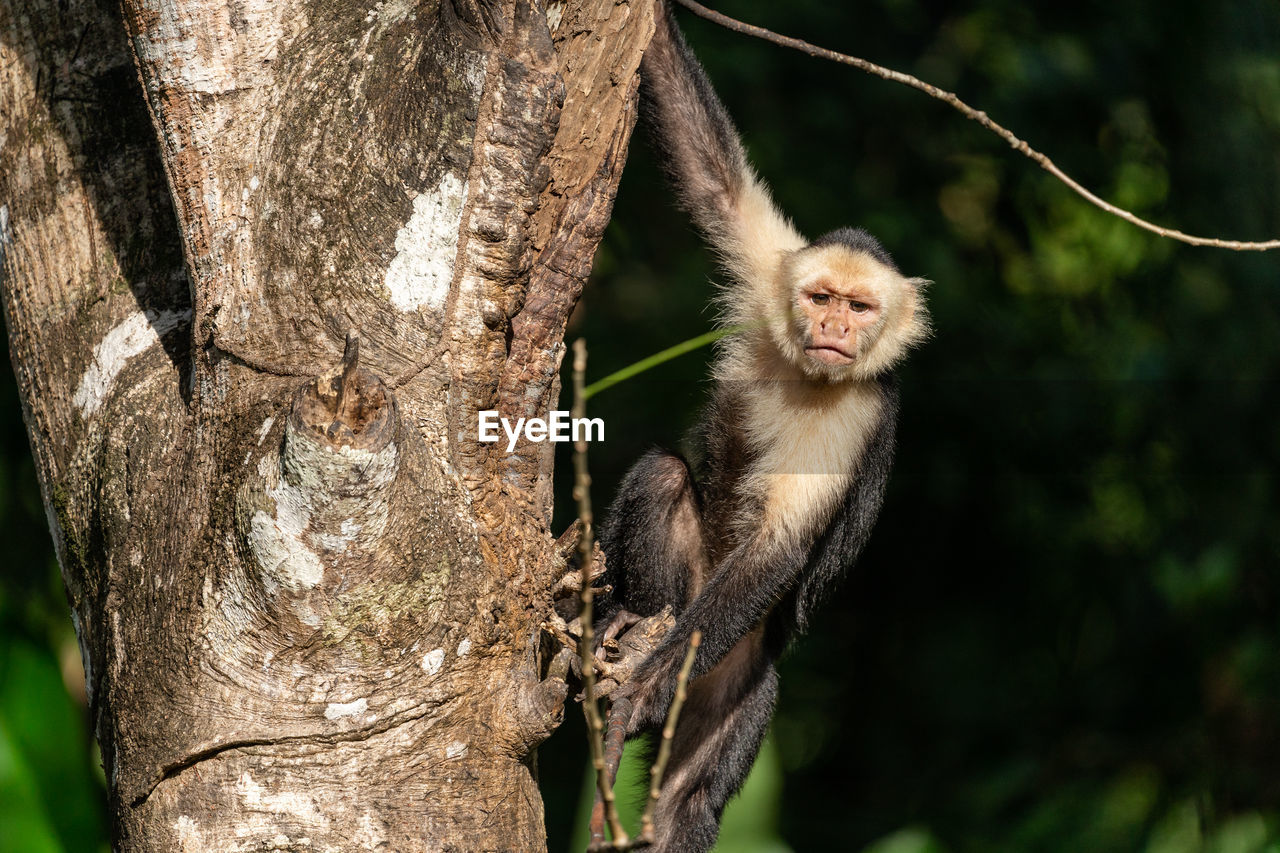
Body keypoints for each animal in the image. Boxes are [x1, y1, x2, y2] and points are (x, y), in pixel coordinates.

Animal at [591, 3, 931, 845]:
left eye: (861, 307)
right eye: (820, 297)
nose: (835, 327)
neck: (815, 373)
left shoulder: (860, 410)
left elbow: (781, 544)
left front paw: (648, 683)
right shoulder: (770, 266)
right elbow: (710, 174)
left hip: (740, 667)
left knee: (690, 801)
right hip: (689, 601)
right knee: (663, 475)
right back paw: (620, 617)